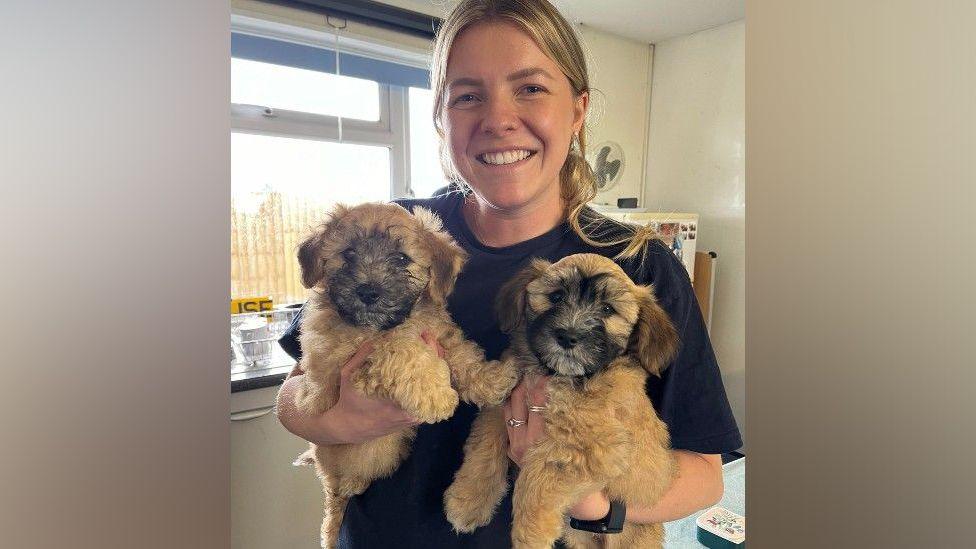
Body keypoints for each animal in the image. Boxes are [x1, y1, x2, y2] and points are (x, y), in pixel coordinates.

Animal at [294, 202, 520, 548]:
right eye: (348, 254)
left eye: (401, 259)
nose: (368, 291)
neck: (390, 322)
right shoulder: (346, 359)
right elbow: (399, 348)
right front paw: (436, 396)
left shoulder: (439, 332)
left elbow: (463, 356)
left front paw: (493, 379)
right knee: (334, 502)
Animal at [446, 253, 684, 548]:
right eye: (556, 296)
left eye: (607, 309)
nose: (568, 337)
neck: (560, 376)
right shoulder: (500, 410)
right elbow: (484, 449)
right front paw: (467, 501)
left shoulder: (583, 444)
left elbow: (539, 477)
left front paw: (530, 536)